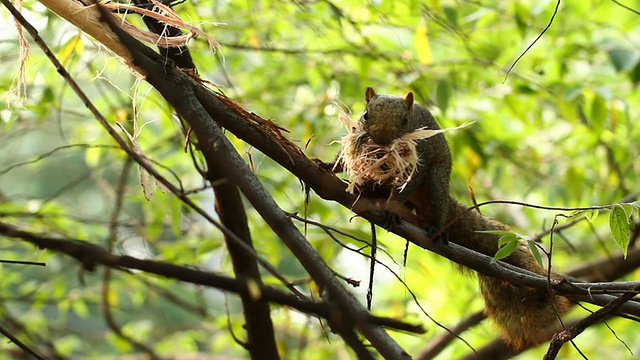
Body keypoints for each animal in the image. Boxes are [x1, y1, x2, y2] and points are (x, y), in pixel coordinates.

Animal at [324, 87, 568, 348]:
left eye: (405, 121)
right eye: (365, 115)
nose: (381, 141)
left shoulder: (419, 160)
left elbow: (407, 186)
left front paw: (391, 208)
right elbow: (342, 158)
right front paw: (328, 165)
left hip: (435, 184)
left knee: (436, 207)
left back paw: (435, 229)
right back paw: (368, 191)